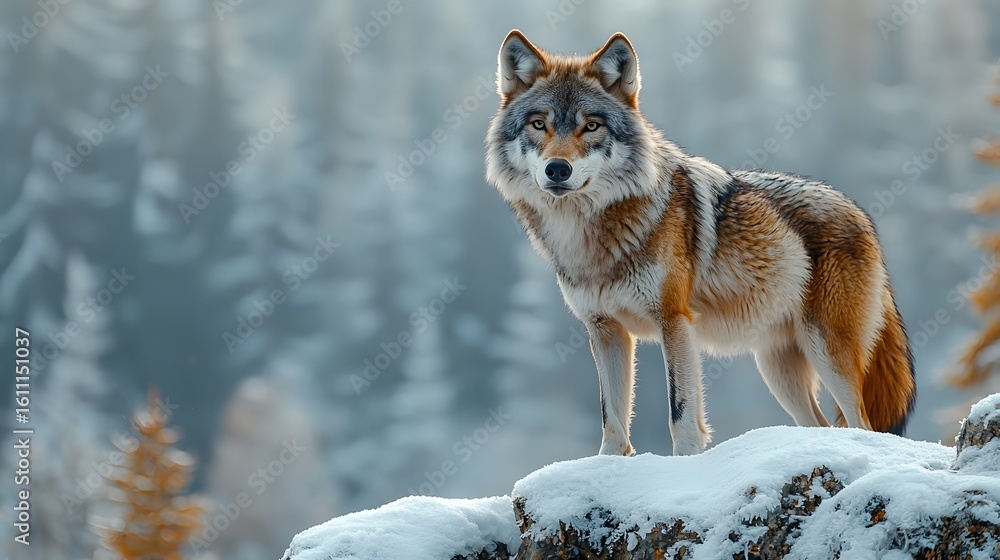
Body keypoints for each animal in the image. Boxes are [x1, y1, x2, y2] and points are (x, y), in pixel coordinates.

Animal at [485, 30, 916, 456]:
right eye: (538, 124)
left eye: (591, 126)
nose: (557, 169)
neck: (589, 235)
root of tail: (860, 213)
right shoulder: (605, 330)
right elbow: (613, 422)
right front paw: (606, 467)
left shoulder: (674, 320)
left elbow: (681, 412)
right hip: (777, 369)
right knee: (822, 425)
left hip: (827, 355)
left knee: (862, 424)